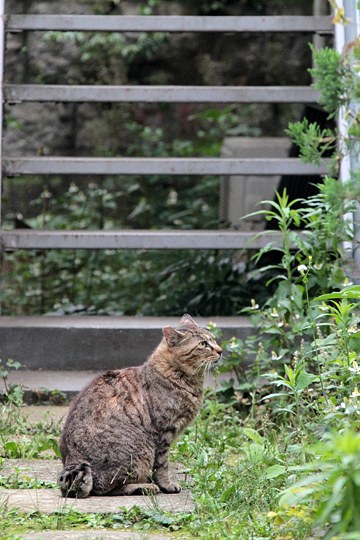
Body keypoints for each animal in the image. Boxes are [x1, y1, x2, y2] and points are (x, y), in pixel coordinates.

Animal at [59, 312, 222, 498]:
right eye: (203, 344)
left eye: (213, 339)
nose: (220, 350)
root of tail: (71, 461)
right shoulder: (164, 433)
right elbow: (162, 465)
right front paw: (166, 485)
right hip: (140, 452)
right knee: (106, 488)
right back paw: (144, 486)